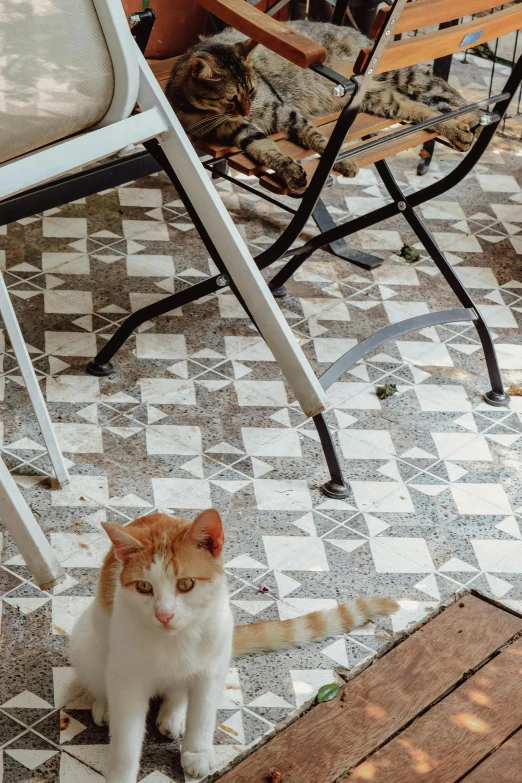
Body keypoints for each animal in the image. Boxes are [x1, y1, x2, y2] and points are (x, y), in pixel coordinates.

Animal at [68, 512, 394, 780]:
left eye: (185, 584)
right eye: (144, 587)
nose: (164, 615)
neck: (176, 639)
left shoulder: (212, 666)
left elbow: (203, 712)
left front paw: (197, 752)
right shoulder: (127, 675)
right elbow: (126, 738)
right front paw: (121, 772)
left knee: (180, 687)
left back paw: (173, 712)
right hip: (88, 641)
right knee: (101, 677)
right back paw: (106, 705)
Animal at [167, 20, 480, 192]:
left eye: (253, 91)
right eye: (232, 98)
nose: (246, 110)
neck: (206, 113)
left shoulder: (282, 111)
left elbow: (318, 139)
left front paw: (342, 161)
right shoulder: (239, 131)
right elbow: (265, 149)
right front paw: (290, 171)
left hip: (400, 75)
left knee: (445, 90)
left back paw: (475, 118)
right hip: (380, 98)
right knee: (421, 111)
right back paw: (456, 130)